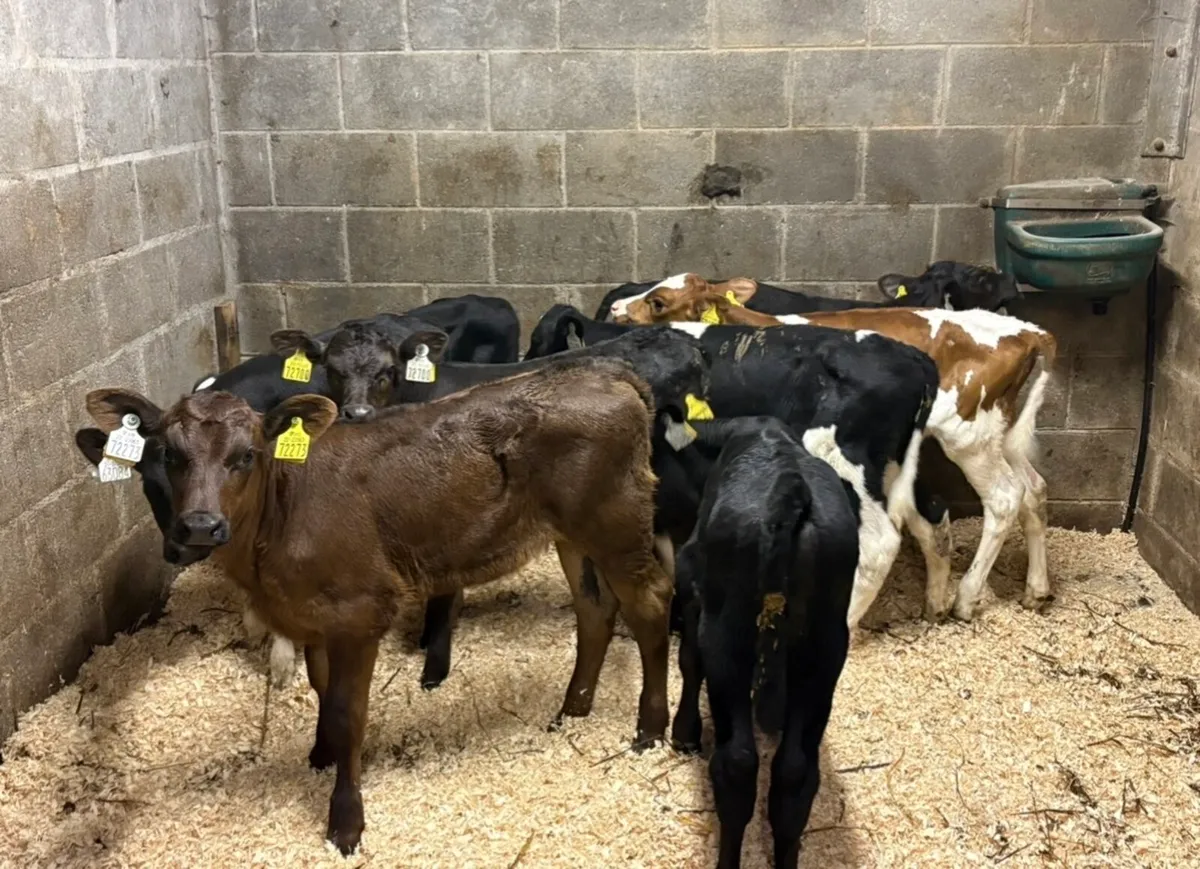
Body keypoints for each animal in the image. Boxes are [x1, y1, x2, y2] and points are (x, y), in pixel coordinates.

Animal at [82, 356, 674, 855]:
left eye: (246, 456)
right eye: (168, 456)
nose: (200, 526)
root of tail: (604, 371)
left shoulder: (361, 613)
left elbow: (349, 713)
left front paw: (345, 822)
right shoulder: (314, 615)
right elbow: (321, 690)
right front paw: (318, 755)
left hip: (616, 521)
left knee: (649, 603)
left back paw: (649, 729)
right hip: (570, 532)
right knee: (595, 610)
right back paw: (572, 711)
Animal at [525, 305, 942, 630]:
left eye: (539, 342)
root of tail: (913, 358)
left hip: (843, 460)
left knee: (879, 541)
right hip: (893, 471)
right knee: (925, 522)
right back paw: (937, 604)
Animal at [616, 278, 1058, 623]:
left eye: (658, 301)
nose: (618, 308)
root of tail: (1027, 331)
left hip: (963, 439)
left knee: (1002, 498)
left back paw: (963, 599)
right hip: (997, 436)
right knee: (1032, 489)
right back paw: (1029, 590)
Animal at [666, 416, 858, 869]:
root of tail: (789, 487)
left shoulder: (689, 576)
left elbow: (688, 661)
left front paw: (684, 732)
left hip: (727, 642)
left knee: (737, 762)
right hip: (826, 651)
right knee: (795, 773)